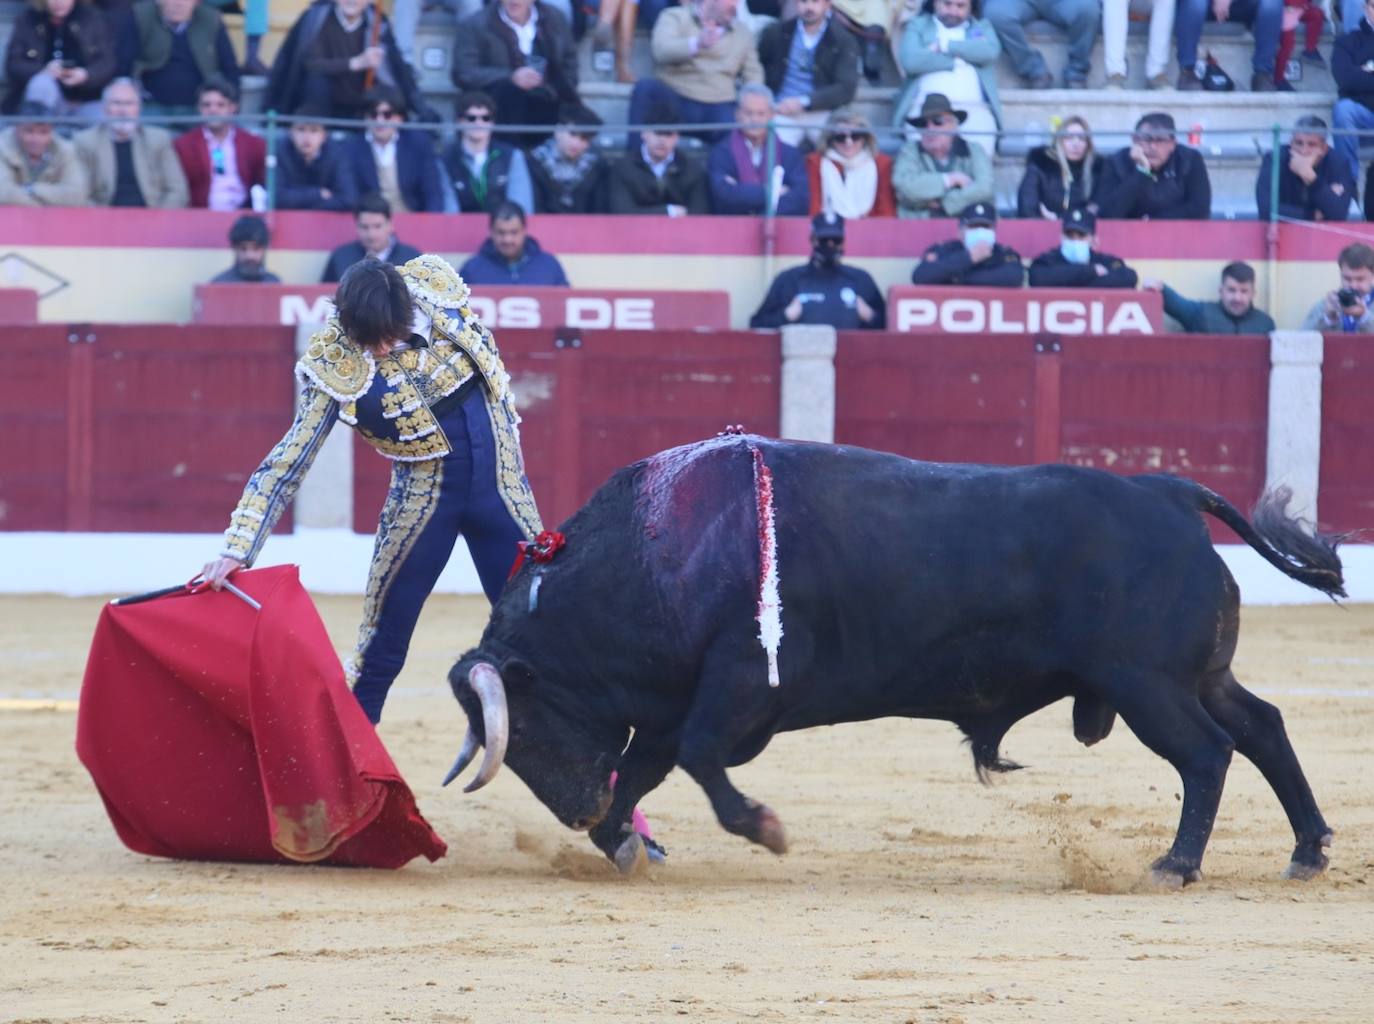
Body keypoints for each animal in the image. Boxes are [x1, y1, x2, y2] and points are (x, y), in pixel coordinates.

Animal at [447, 431, 1341, 879]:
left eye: (524, 728)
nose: (576, 813)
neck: (660, 552)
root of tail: (1171, 492)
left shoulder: (735, 683)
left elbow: (698, 761)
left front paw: (764, 829)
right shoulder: (677, 702)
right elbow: (646, 768)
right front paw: (622, 842)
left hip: (1148, 685)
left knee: (1208, 753)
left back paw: (1177, 864)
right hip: (1198, 676)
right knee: (1262, 728)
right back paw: (1306, 851)